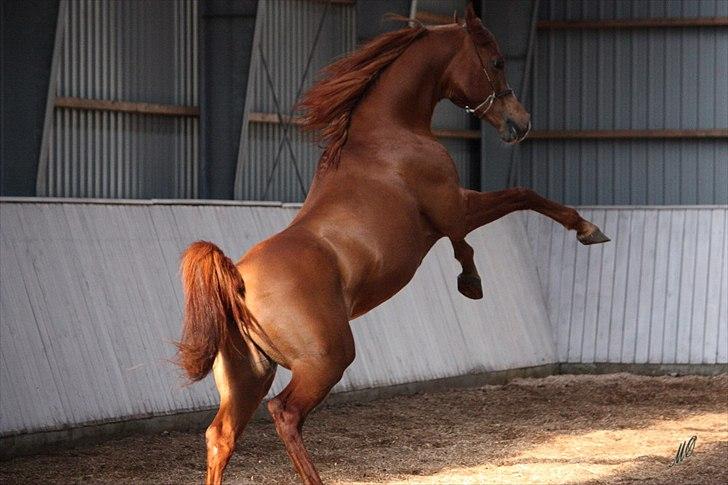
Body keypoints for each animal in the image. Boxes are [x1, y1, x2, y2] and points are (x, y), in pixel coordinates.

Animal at [176, 4, 608, 484]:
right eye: (496, 62)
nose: (521, 123)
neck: (387, 134)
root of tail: (235, 279)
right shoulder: (455, 208)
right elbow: (516, 200)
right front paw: (583, 230)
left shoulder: (449, 215)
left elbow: (479, 229)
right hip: (323, 361)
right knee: (285, 414)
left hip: (248, 375)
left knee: (221, 436)